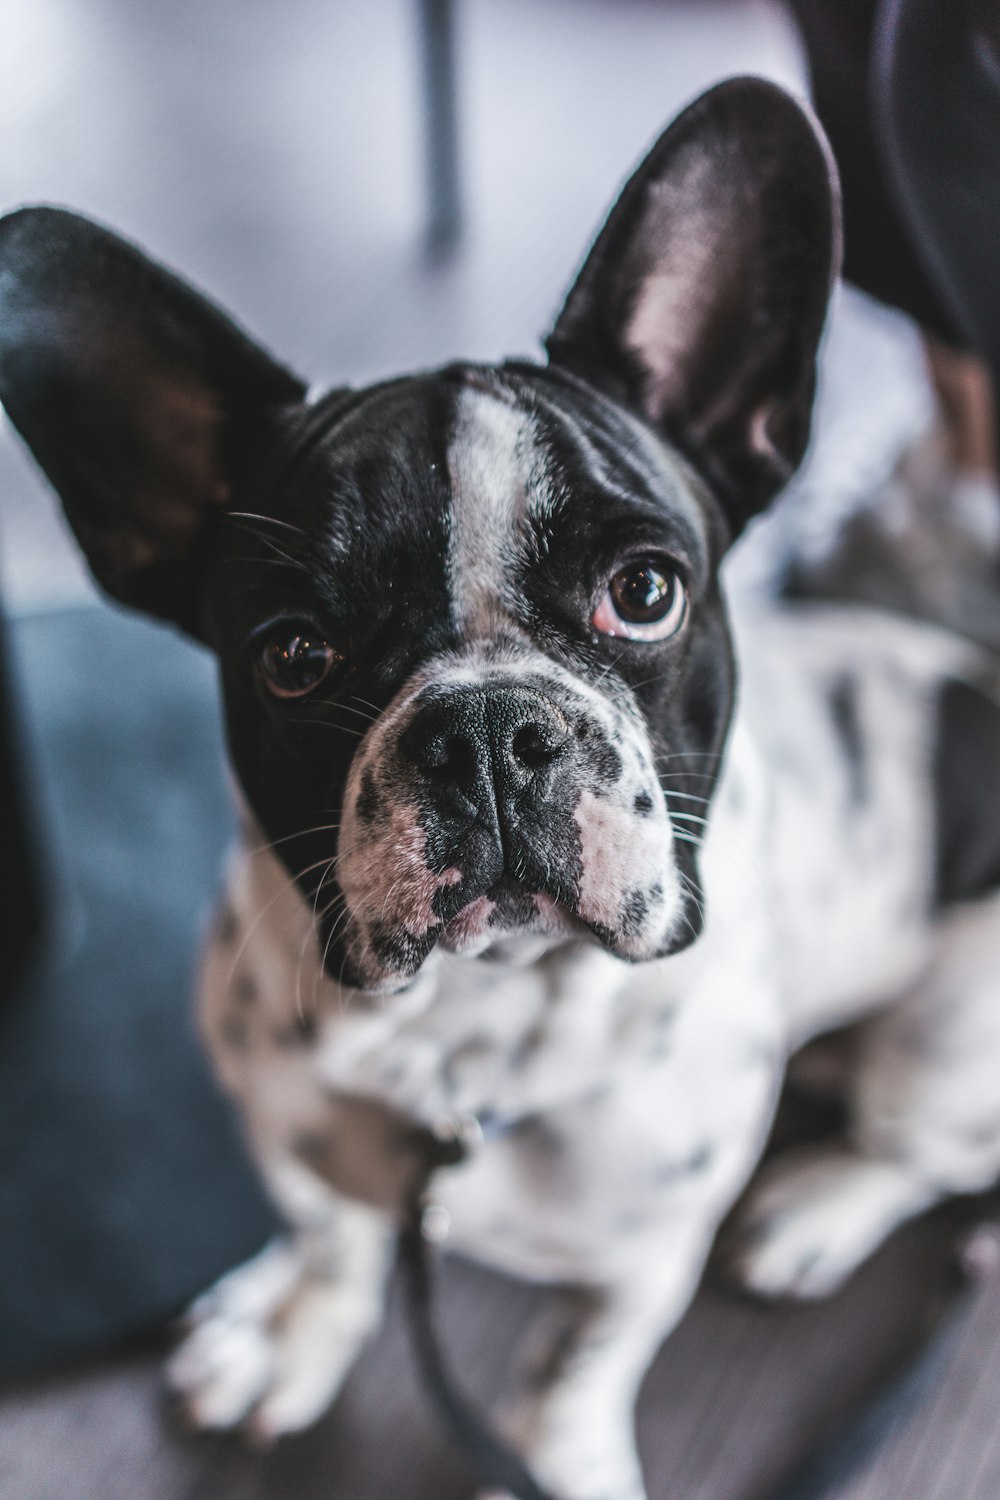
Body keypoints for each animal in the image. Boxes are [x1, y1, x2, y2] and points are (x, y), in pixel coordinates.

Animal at [1, 76, 1000, 1500]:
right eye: (292, 657)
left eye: (645, 591)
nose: (482, 731)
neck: (464, 1033)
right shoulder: (289, 1133)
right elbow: (333, 1237)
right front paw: (295, 1332)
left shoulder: (641, 1259)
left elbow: (573, 1369)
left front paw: (559, 1461)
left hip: (948, 1043)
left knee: (917, 1149)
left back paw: (817, 1208)